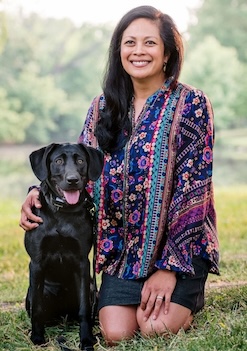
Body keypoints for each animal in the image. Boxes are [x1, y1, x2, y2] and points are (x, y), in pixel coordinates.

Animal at [23, 143, 103, 351]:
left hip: (91, 288)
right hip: (33, 292)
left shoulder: (82, 263)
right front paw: (37, 337)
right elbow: (38, 308)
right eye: (58, 161)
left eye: (81, 160)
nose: (72, 180)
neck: (63, 213)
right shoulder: (36, 263)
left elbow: (84, 310)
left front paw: (86, 340)